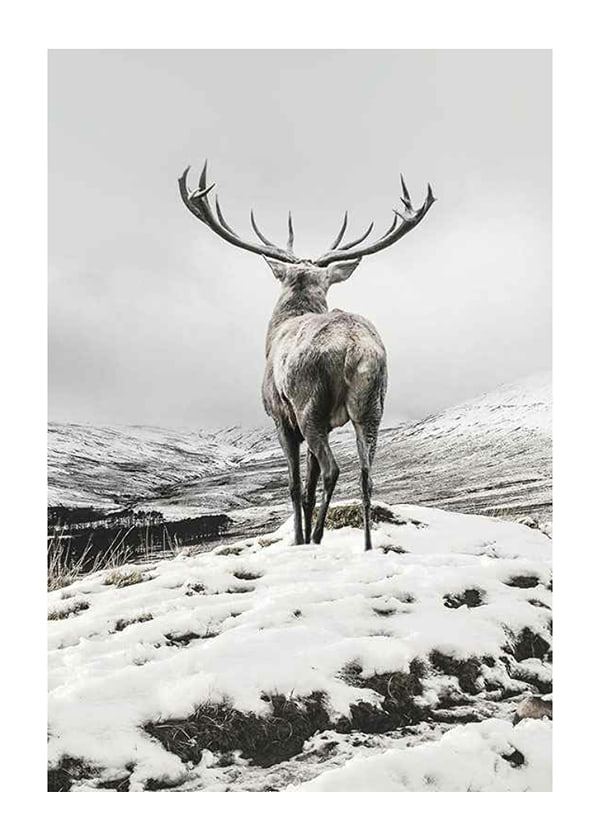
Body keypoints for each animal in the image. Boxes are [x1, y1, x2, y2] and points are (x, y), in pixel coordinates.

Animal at [179, 162, 435, 551]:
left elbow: (296, 485)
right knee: (366, 475)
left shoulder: (280, 417)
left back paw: (315, 538)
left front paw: (298, 539)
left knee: (333, 469)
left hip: (309, 404)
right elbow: (309, 487)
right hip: (372, 404)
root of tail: (354, 346)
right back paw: (366, 546)